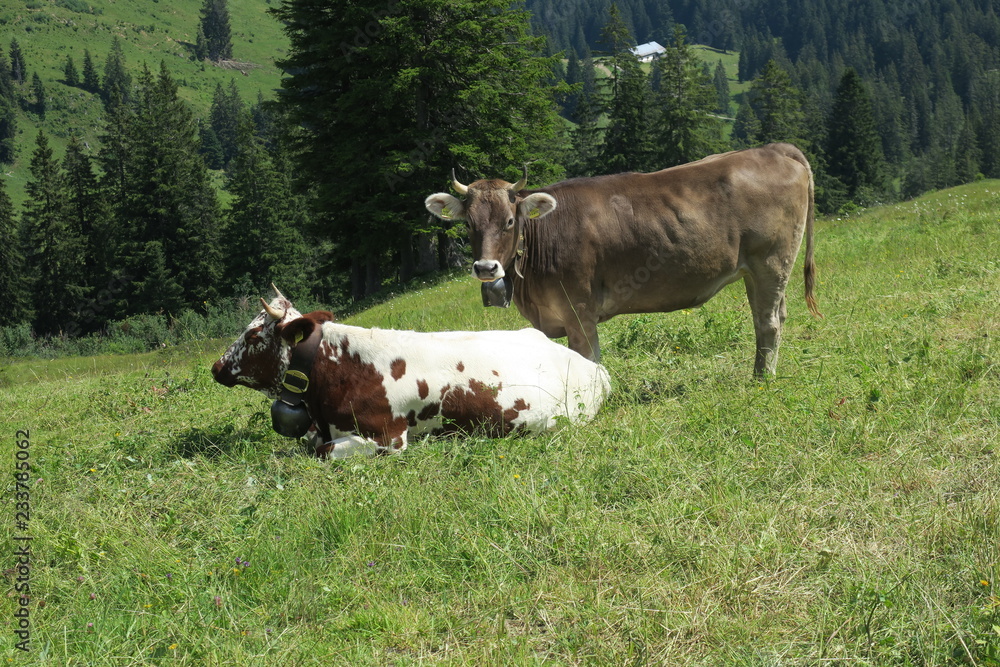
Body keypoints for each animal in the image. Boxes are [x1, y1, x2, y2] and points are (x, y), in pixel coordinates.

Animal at [425, 143, 821, 376]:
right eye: (468, 224)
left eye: (510, 221)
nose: (486, 268)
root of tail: (774, 148)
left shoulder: (579, 311)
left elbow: (588, 359)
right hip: (757, 271)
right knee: (772, 316)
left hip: (771, 260)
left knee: (768, 322)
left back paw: (762, 378)